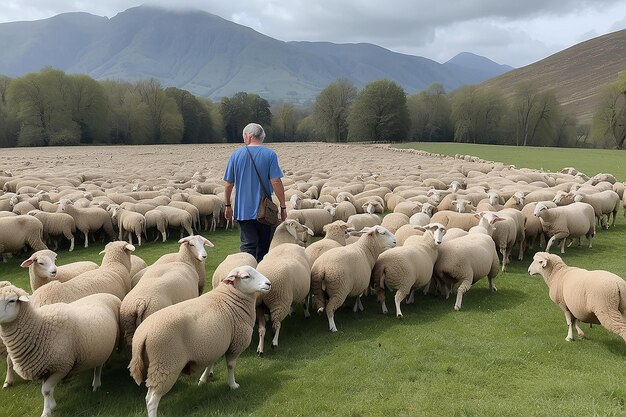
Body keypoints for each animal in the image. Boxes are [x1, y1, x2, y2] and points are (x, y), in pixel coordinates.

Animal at [0, 282, 119, 416]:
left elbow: (46, 390)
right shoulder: (45, 367)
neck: (40, 328)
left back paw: (96, 384)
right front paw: (51, 405)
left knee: (99, 366)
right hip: (98, 348)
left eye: (12, 300)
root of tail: (107, 294)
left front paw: (46, 411)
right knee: (98, 364)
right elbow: (47, 390)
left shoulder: (62, 367)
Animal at [127, 264, 270, 414]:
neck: (231, 297)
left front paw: (203, 380)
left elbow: (210, 363)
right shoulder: (235, 344)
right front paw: (233, 385)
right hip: (165, 364)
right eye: (246, 276)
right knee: (151, 399)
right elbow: (231, 367)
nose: (269, 284)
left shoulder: (214, 344)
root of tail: (142, 334)